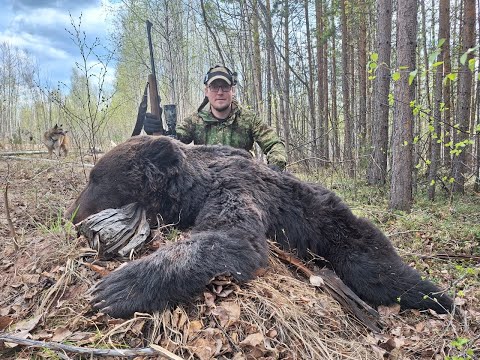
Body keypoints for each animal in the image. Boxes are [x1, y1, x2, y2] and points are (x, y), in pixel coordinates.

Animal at [65, 135, 452, 318]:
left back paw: (440, 298)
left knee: (376, 268)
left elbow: (233, 238)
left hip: (337, 227)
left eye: (95, 178)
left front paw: (117, 288)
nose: (70, 215)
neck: (193, 186)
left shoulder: (236, 189)